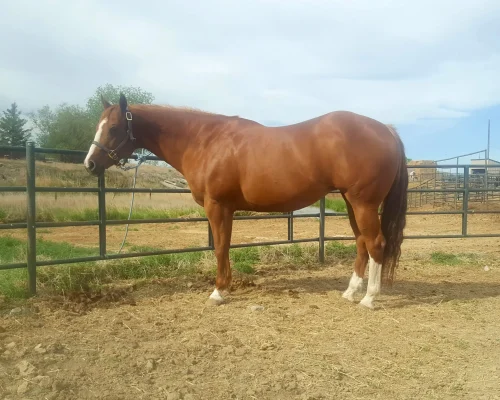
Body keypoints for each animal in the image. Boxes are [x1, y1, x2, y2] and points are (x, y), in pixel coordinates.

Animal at [84, 94, 408, 310]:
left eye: (113, 128)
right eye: (98, 125)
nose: (89, 164)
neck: (204, 141)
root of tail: (386, 130)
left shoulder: (217, 206)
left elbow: (220, 248)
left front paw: (218, 292)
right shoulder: (225, 208)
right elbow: (224, 247)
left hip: (364, 203)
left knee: (376, 243)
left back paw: (368, 299)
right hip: (352, 202)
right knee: (362, 243)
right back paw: (351, 292)